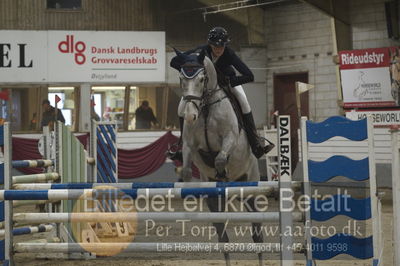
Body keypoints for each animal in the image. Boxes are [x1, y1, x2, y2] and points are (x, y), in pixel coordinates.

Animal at [173, 48, 264, 264]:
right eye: (182, 78)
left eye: (201, 79)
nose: (189, 116)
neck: (205, 106)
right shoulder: (189, 145)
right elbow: (187, 170)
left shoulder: (229, 139)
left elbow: (221, 159)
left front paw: (222, 173)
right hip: (215, 203)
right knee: (222, 234)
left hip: (250, 185)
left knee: (257, 230)